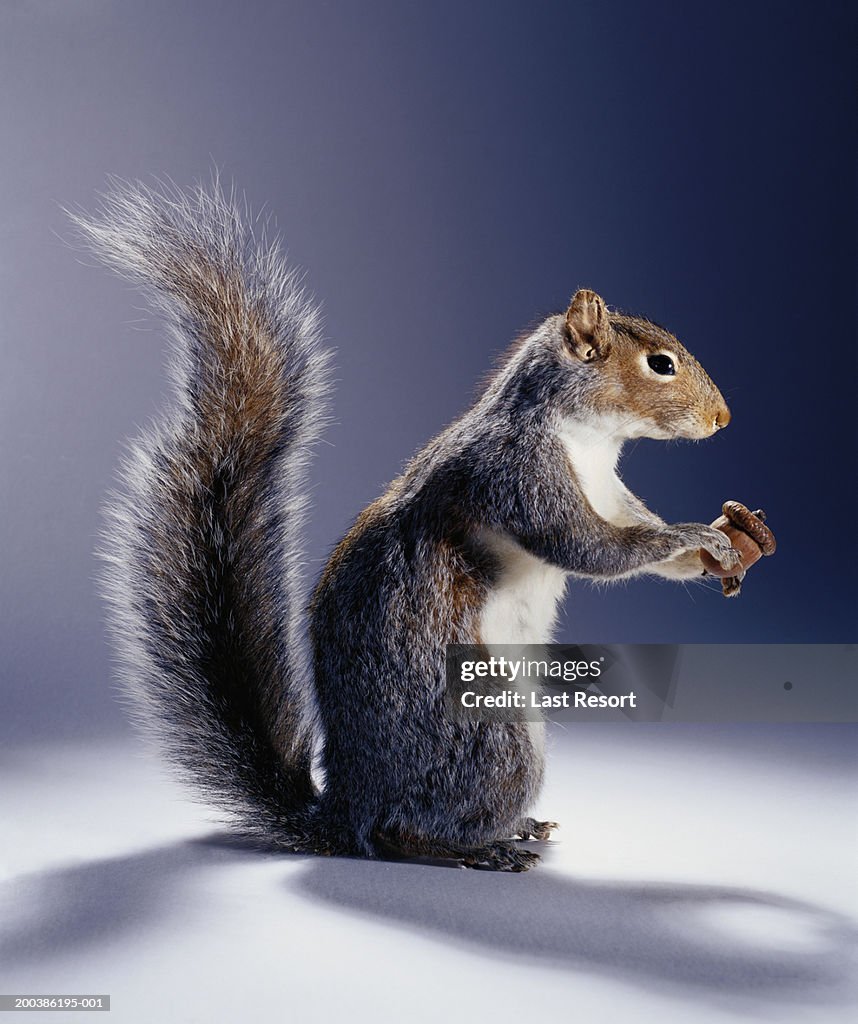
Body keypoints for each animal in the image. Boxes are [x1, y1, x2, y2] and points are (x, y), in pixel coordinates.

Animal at [73, 182, 741, 872]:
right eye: (660, 364)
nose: (723, 417)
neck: (586, 439)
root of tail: (347, 811)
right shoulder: (515, 473)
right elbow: (588, 548)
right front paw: (694, 535)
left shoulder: (608, 491)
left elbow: (623, 534)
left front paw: (718, 547)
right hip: (488, 735)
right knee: (402, 832)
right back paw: (480, 849)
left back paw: (519, 827)